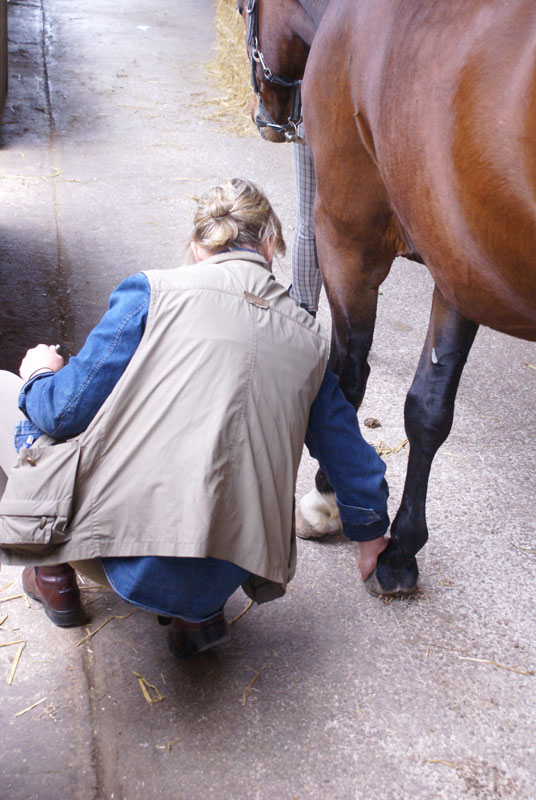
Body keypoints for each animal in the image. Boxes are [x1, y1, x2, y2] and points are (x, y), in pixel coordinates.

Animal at [238, 0, 536, 596]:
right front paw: (401, 549)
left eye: (242, 8)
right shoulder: (458, 267)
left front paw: (328, 497)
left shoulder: (348, 239)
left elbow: (348, 375)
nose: (269, 118)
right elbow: (428, 408)